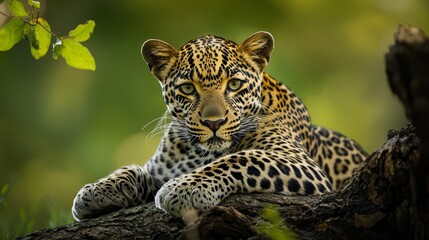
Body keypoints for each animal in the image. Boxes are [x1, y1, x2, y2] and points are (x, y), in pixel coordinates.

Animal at [72, 31, 366, 221]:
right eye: (187, 89)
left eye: (234, 84)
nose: (214, 123)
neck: (197, 151)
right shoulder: (159, 170)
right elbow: (133, 170)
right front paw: (94, 192)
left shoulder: (302, 165)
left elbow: (243, 158)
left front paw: (185, 188)